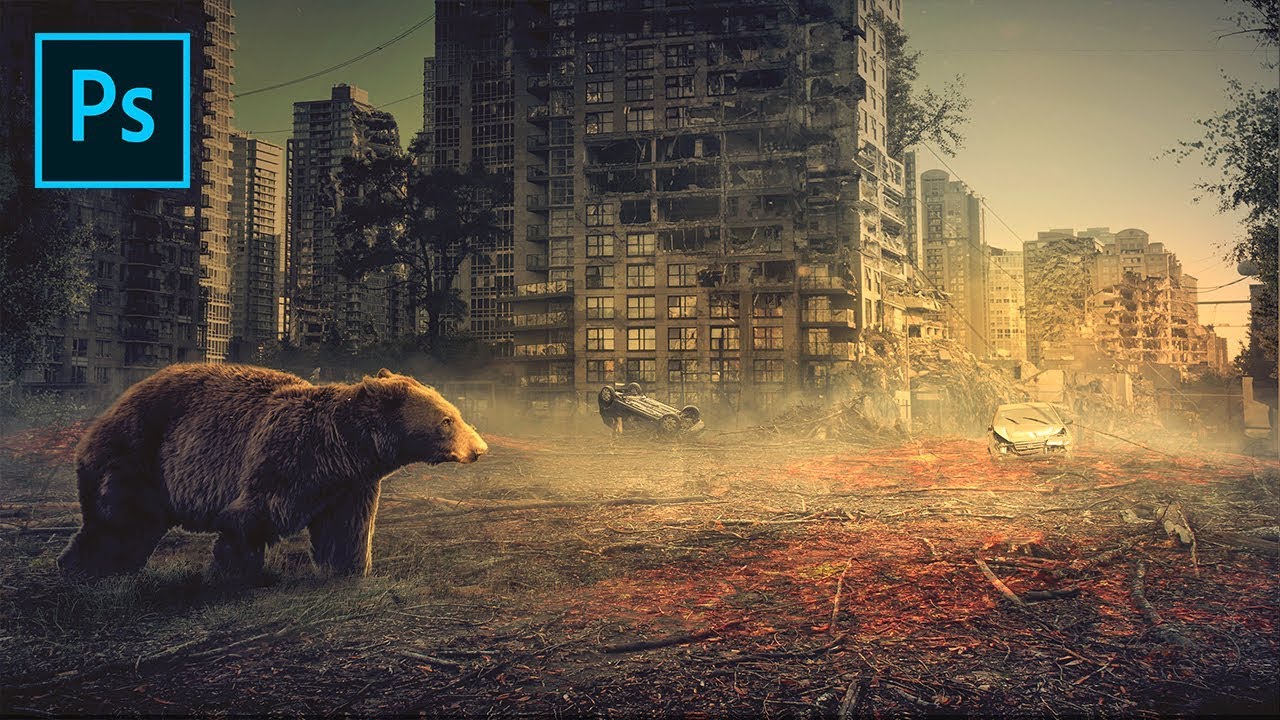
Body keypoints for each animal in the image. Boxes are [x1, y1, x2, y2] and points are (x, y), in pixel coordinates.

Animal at [57, 364, 488, 581]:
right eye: (446, 420)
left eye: (456, 413)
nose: (479, 448)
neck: (344, 449)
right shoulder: (284, 457)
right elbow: (251, 516)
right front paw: (232, 572)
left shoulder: (350, 484)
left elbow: (346, 529)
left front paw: (348, 569)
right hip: (138, 454)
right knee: (120, 523)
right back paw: (89, 567)